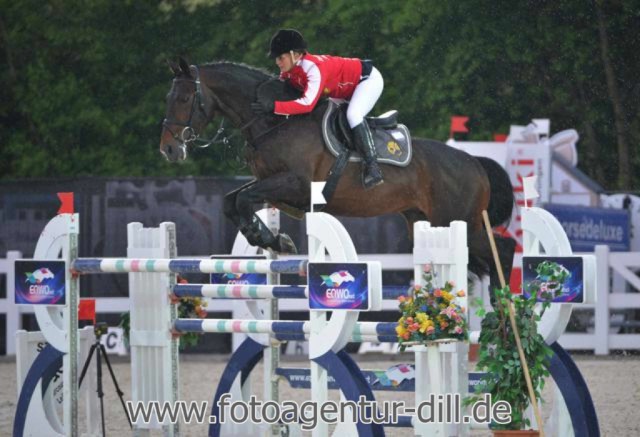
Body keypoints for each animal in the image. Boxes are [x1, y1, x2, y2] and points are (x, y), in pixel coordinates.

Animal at [161, 58, 520, 290]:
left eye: (184, 98)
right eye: (169, 97)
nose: (169, 149)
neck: (275, 122)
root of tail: (474, 162)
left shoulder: (295, 185)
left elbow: (244, 198)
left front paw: (269, 237)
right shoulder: (270, 182)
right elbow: (231, 200)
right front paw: (268, 237)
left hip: (459, 221)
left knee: (504, 248)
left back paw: (503, 310)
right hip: (426, 221)